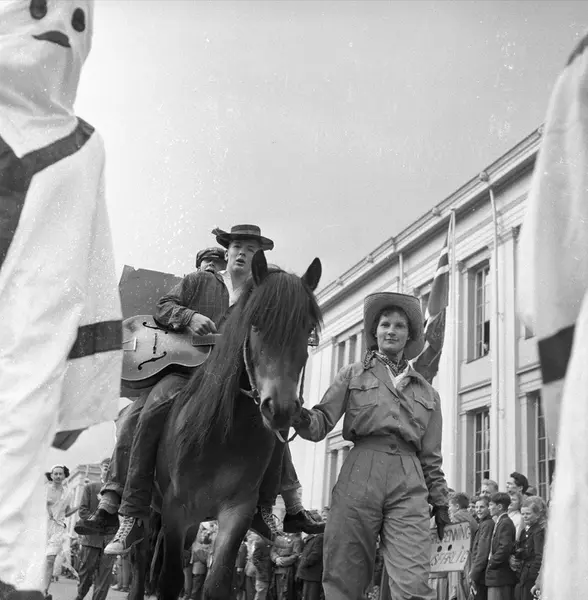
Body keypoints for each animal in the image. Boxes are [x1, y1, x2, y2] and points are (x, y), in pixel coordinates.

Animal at [130, 250, 322, 600]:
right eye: (256, 323)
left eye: (307, 329)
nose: (280, 408)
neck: (225, 434)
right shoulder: (176, 508)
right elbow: (169, 581)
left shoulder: (237, 511)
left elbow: (217, 583)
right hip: (151, 511)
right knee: (140, 562)